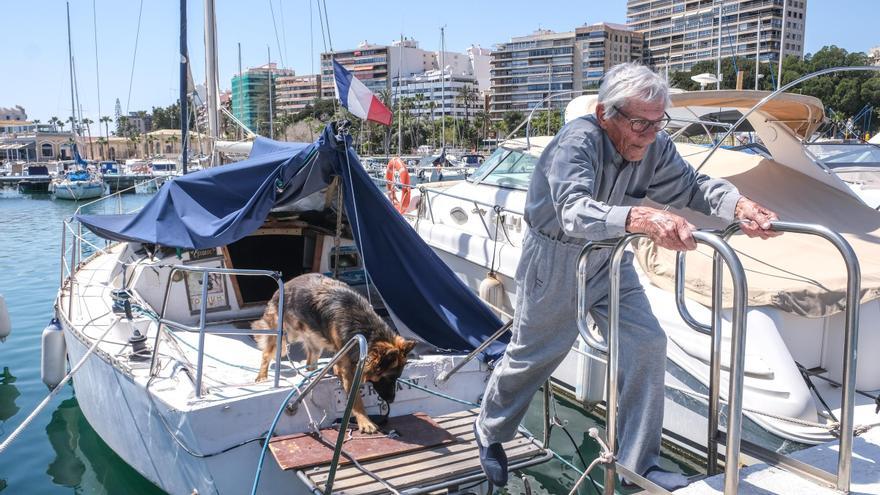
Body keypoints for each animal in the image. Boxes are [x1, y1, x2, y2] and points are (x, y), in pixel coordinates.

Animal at [251, 272, 416, 434]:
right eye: (388, 378)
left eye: (397, 378)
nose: (392, 400)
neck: (369, 332)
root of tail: (283, 287)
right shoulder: (348, 368)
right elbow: (356, 398)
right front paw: (365, 421)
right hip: (284, 338)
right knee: (267, 354)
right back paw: (262, 377)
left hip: (315, 346)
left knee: (310, 363)